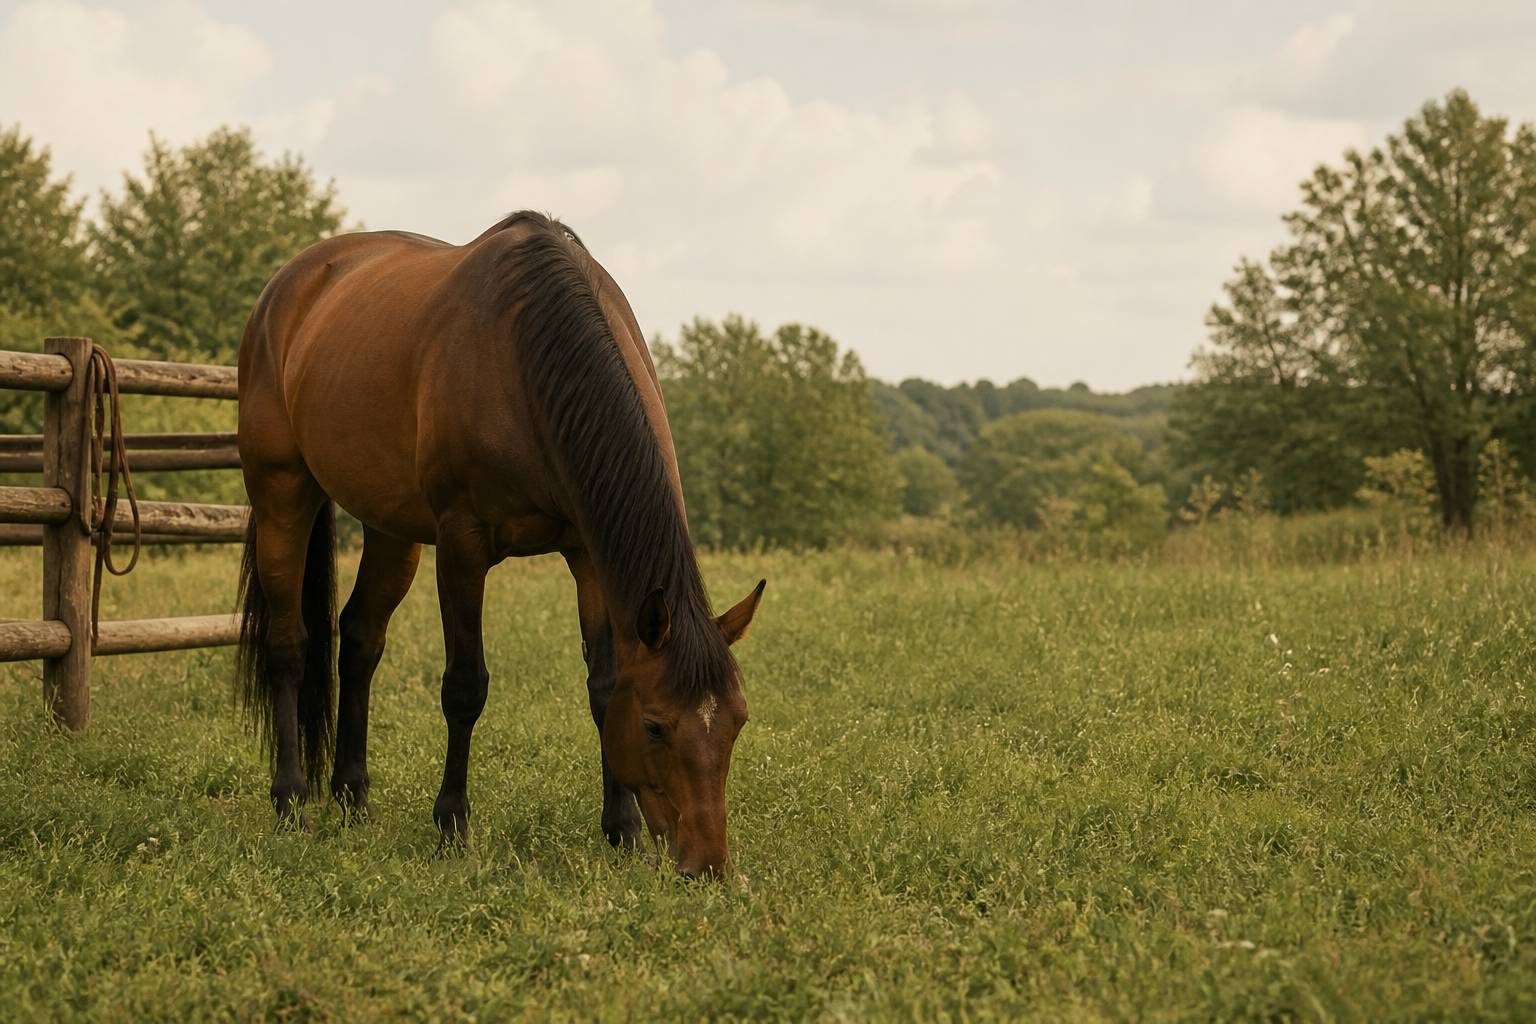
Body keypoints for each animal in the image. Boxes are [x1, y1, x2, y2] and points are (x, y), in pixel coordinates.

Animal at [235, 211, 764, 878]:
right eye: (654, 727)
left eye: (737, 722)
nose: (708, 865)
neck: (526, 358)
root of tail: (287, 285)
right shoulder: (462, 546)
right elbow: (465, 687)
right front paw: (452, 828)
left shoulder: (588, 556)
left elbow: (601, 687)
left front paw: (622, 833)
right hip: (282, 489)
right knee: (289, 646)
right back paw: (290, 803)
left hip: (391, 526)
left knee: (359, 639)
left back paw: (354, 800)